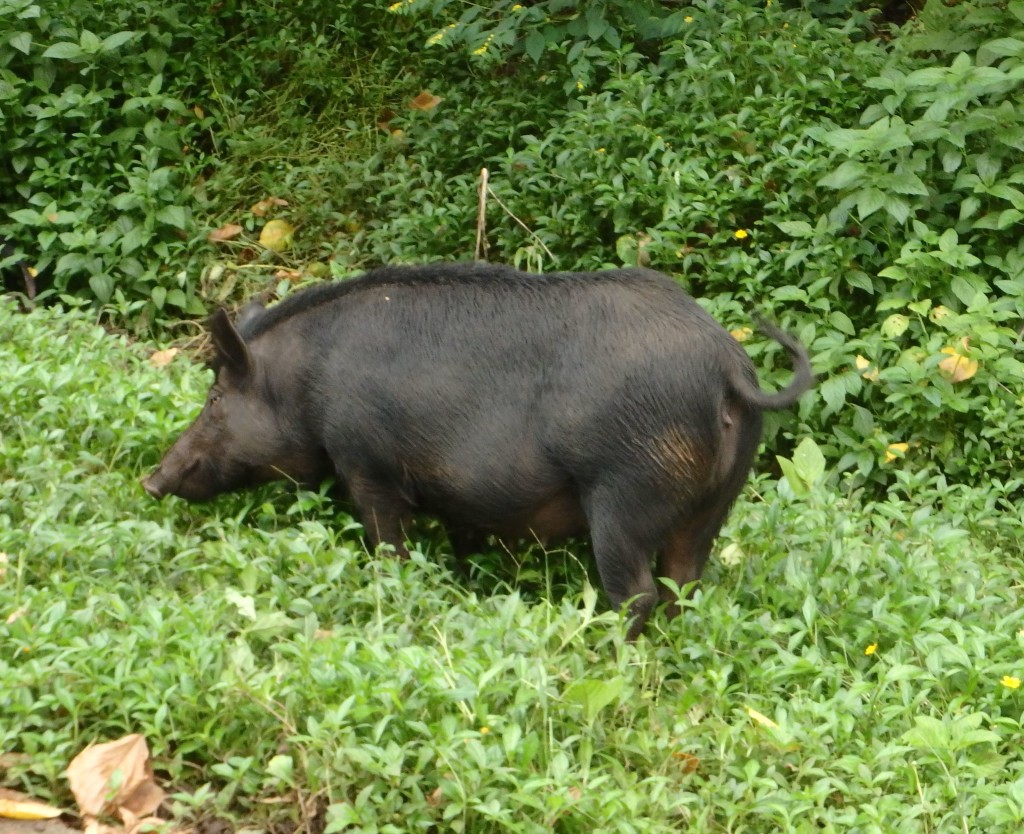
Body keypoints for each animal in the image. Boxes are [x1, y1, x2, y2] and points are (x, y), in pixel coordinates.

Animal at [146, 264, 815, 643]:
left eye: (214, 398)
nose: (152, 481)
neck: (305, 383)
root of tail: (728, 368)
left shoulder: (366, 462)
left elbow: (386, 540)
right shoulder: (456, 497)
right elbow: (462, 546)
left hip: (624, 490)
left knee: (637, 591)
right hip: (716, 501)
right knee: (685, 585)